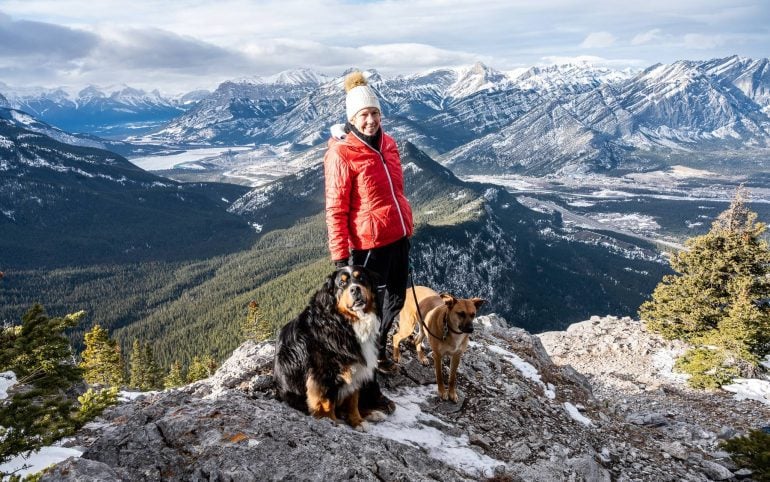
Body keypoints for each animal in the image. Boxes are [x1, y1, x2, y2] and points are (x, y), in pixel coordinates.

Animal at [274, 266, 380, 428]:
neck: (342, 322)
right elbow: (325, 402)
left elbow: (353, 399)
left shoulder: (354, 368)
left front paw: (357, 421)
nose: (355, 289)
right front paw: (329, 421)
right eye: (341, 284)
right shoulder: (321, 372)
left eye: (361, 278)